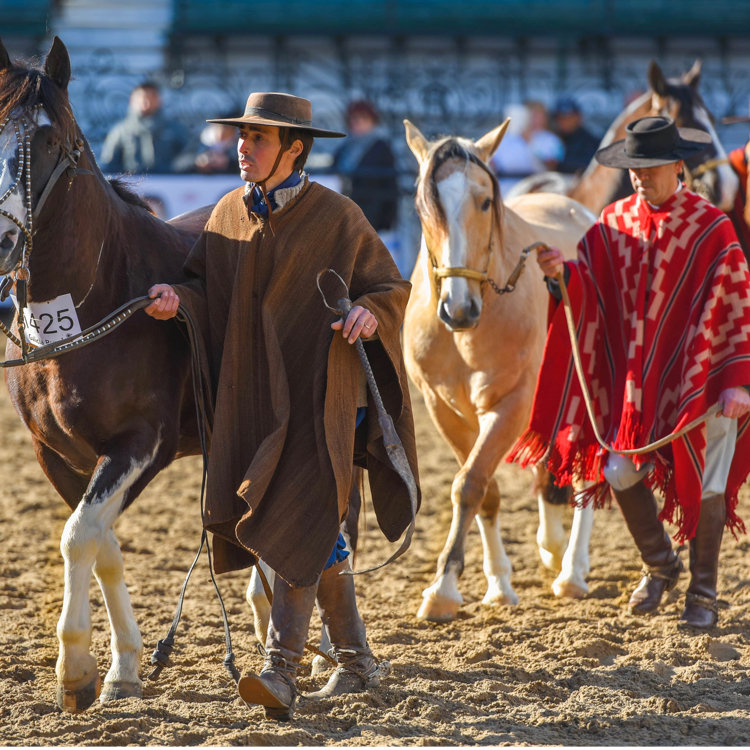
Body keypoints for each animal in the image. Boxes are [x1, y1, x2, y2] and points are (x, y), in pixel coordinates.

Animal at [406, 117, 600, 624]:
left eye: (486, 201)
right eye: (423, 207)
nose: (457, 309)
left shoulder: (511, 405)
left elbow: (469, 484)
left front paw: (443, 588)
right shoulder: (442, 408)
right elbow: (485, 490)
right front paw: (497, 584)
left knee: (588, 474)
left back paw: (572, 572)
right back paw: (552, 548)